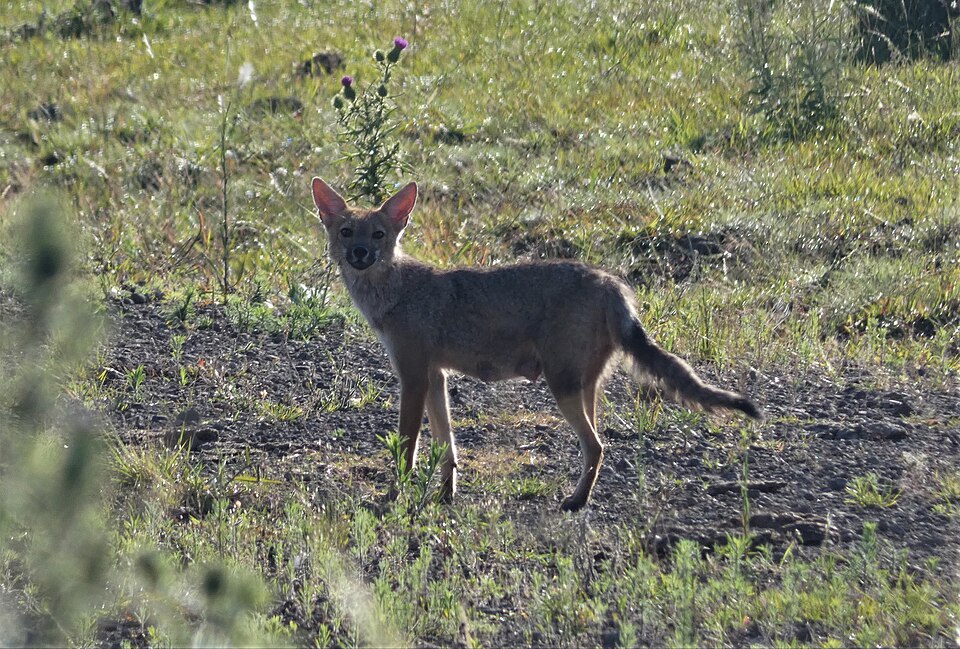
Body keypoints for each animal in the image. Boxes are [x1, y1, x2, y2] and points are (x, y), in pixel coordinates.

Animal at [311, 177, 762, 512]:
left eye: (379, 235)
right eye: (347, 232)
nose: (360, 253)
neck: (396, 292)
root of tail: (609, 280)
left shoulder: (414, 377)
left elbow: (407, 448)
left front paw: (393, 495)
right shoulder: (436, 376)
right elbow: (447, 448)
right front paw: (445, 496)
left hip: (562, 388)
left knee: (597, 447)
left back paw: (575, 503)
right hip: (583, 388)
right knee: (599, 446)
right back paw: (580, 498)